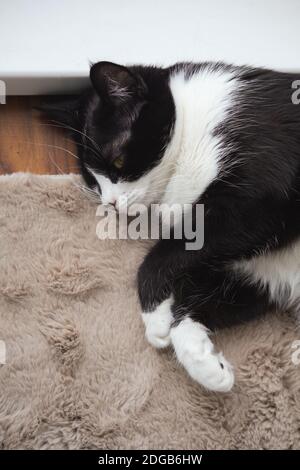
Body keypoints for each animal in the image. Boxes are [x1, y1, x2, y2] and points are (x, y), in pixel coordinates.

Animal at [42, 61, 300, 392]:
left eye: (119, 160)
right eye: (92, 180)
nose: (110, 203)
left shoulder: (259, 196)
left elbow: (162, 256)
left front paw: (155, 316)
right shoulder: (263, 271)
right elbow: (210, 294)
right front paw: (201, 358)